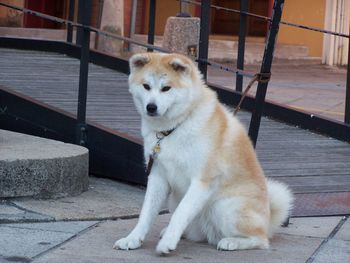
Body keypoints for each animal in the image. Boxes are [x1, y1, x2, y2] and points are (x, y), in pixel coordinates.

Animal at [113, 52, 294, 255]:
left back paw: (231, 242)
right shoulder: (157, 176)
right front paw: (133, 239)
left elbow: (181, 213)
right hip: (177, 201)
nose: (151, 107)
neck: (173, 128)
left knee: (260, 240)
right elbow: (146, 214)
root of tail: (268, 221)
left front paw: (167, 243)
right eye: (146, 86)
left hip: (224, 207)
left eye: (166, 88)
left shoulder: (202, 181)